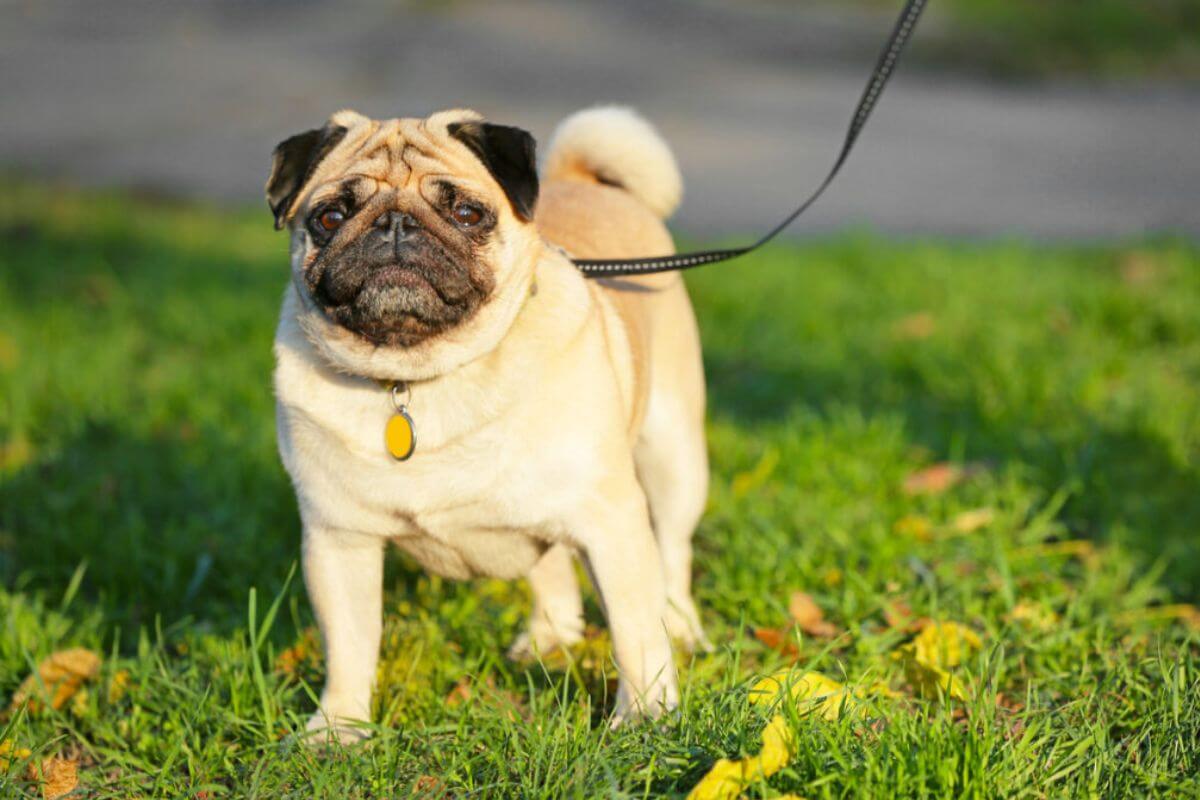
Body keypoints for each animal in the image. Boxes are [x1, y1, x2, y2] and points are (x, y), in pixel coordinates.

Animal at [267, 107, 705, 743]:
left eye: (466, 214)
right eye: (331, 217)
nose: (394, 225)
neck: (418, 380)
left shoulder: (611, 523)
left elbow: (635, 631)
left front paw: (646, 715)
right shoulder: (339, 538)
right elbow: (349, 643)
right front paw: (337, 728)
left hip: (673, 455)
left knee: (671, 555)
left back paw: (682, 625)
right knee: (551, 566)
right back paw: (550, 635)